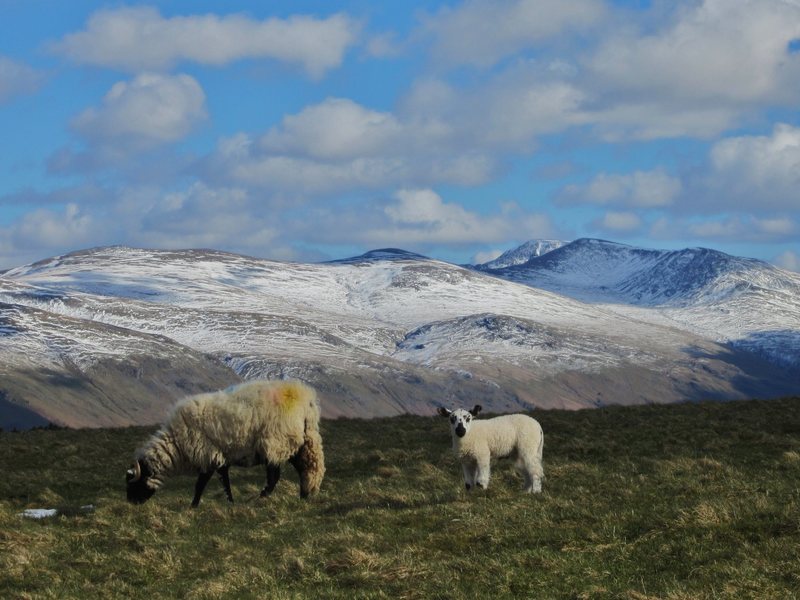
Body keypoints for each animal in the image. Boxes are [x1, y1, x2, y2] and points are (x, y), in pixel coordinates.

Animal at [126, 380, 324, 506]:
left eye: (133, 483)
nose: (131, 503)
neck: (176, 445)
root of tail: (306, 401)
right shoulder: (219, 458)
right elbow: (224, 481)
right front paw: (230, 502)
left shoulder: (207, 455)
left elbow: (200, 484)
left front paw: (193, 506)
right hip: (300, 442)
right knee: (307, 468)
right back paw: (304, 495)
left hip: (276, 443)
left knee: (275, 477)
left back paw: (259, 499)